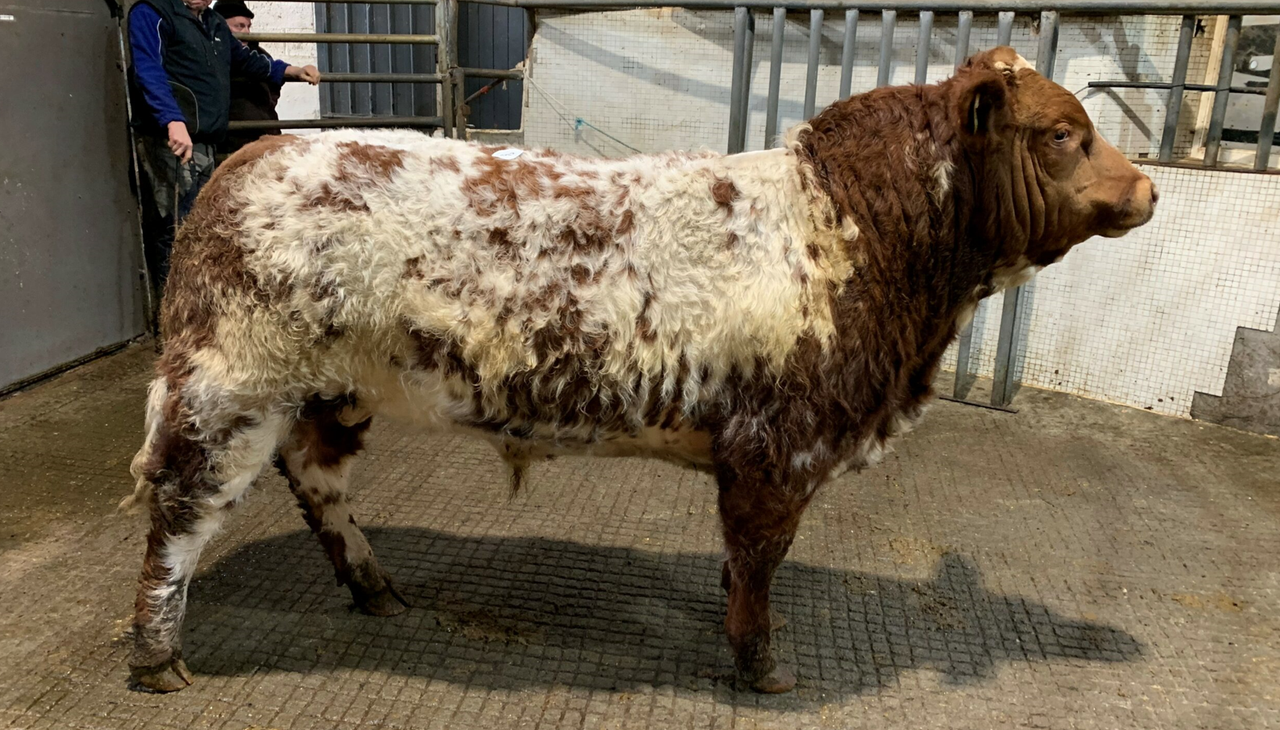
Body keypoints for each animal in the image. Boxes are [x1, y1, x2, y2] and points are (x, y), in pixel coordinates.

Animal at [121, 47, 1157, 694]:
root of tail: (249, 158)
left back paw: (375, 588)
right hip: (229, 383)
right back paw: (157, 657)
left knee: (318, 481)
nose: (1149, 186)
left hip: (329, 390)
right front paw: (762, 667)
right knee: (179, 510)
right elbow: (761, 560)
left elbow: (746, 562)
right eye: (1061, 133)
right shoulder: (777, 448)